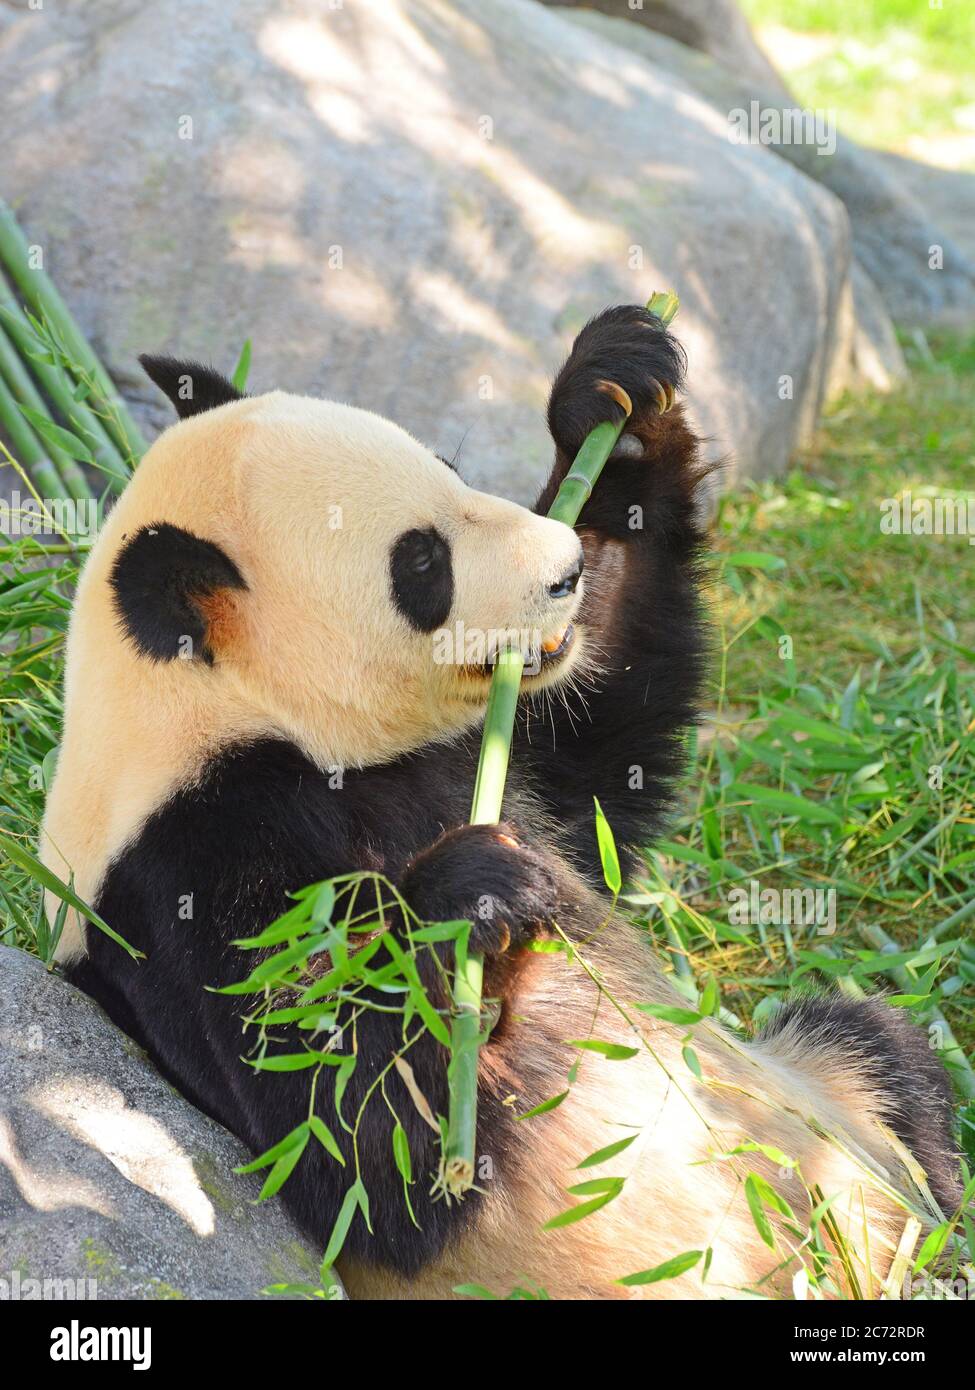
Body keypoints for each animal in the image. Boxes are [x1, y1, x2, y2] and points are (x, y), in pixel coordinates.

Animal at [40, 305, 961, 1300]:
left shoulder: (484, 762)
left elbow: (602, 759)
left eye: (449, 465)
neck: (233, 719)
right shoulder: (188, 870)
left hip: (824, 1114)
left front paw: (612, 392)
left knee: (882, 1056)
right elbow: (354, 1137)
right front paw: (468, 897)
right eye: (422, 564)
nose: (562, 571)